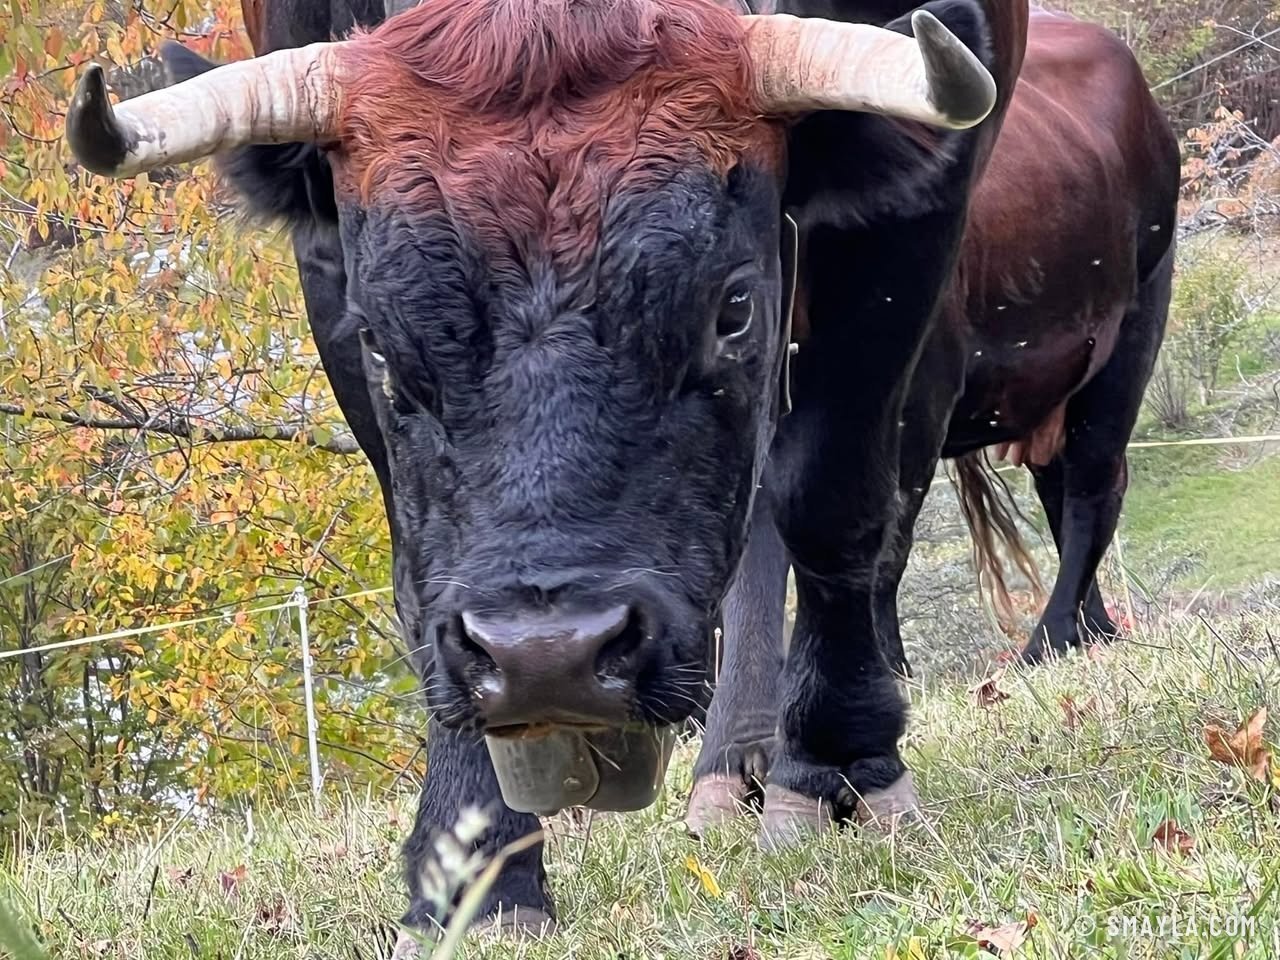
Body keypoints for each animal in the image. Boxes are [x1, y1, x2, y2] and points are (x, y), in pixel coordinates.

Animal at [64, 0, 1026, 941]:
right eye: (381, 339)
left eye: (732, 309)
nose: (548, 658)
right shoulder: (327, 263)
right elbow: (420, 573)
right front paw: (473, 869)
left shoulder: (913, 220)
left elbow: (830, 492)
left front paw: (837, 766)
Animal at [686, 8, 1179, 832]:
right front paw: (734, 754)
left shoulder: (914, 387)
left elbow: (876, 537)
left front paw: (867, 699)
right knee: (1063, 492)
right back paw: (1090, 632)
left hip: (1130, 332)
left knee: (1092, 491)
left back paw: (1047, 644)